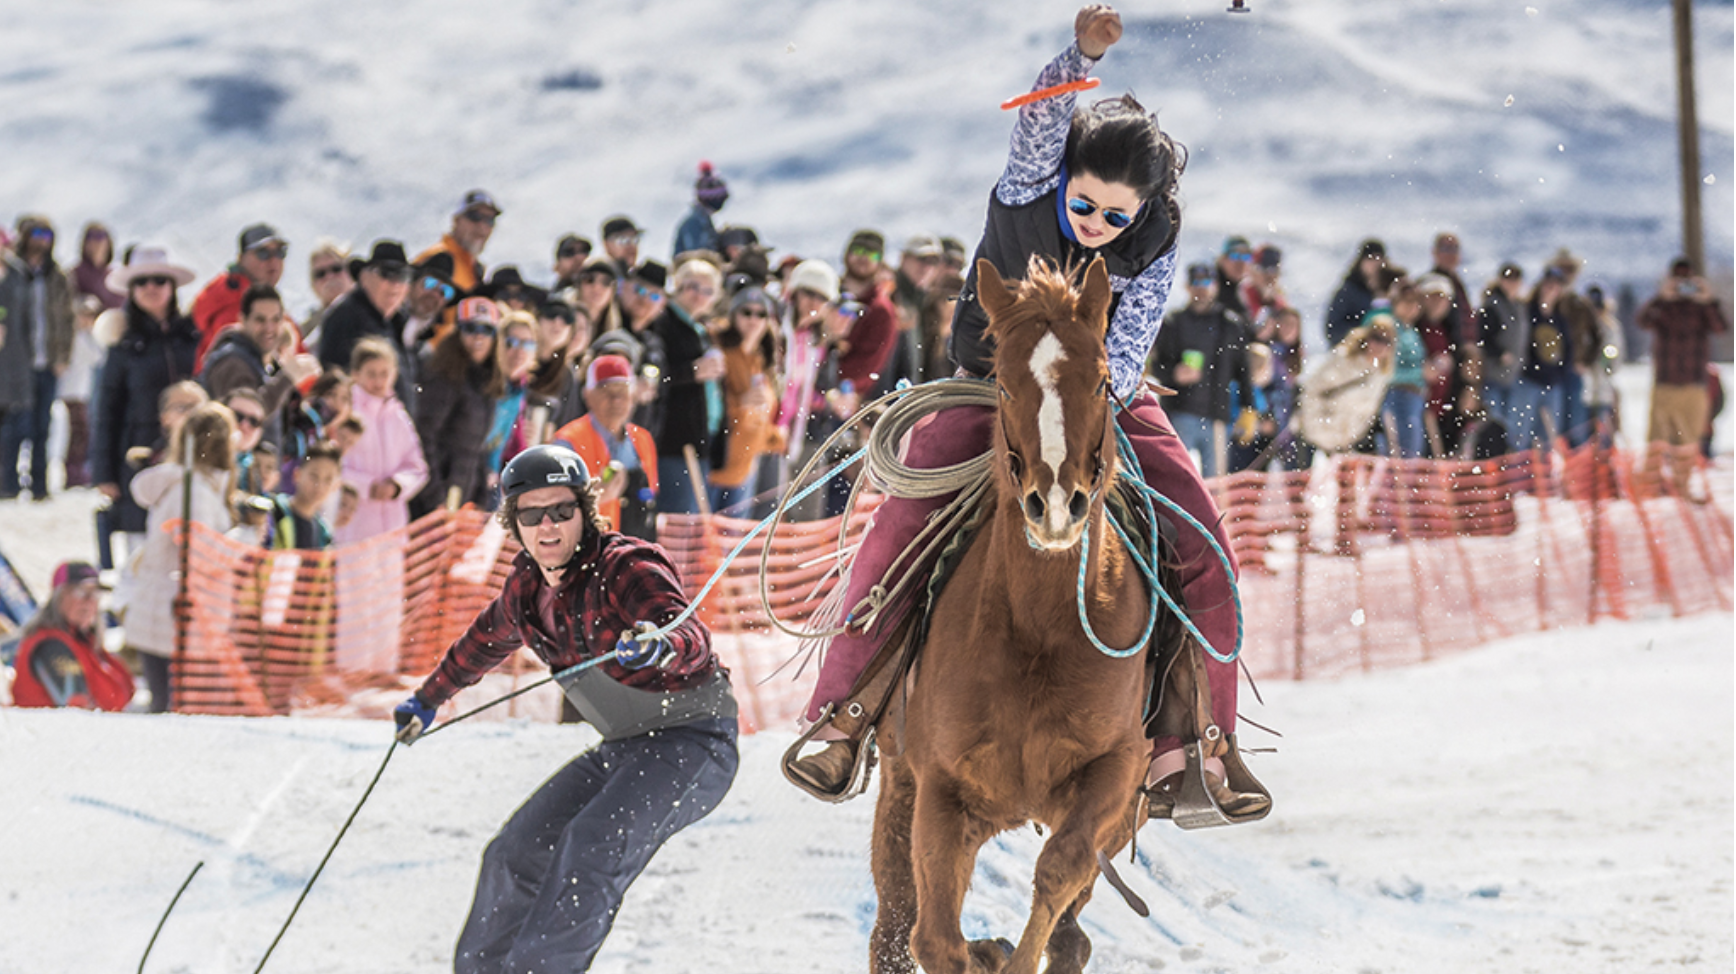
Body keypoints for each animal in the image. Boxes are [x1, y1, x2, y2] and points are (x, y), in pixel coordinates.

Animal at [869, 255, 1166, 974]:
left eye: (1103, 381)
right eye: (1002, 385)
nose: (1055, 505)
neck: (1039, 628)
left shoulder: (1115, 775)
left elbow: (1059, 873)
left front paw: (1012, 950)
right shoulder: (942, 792)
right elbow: (935, 940)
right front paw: (985, 951)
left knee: (1073, 926)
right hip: (898, 787)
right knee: (892, 932)